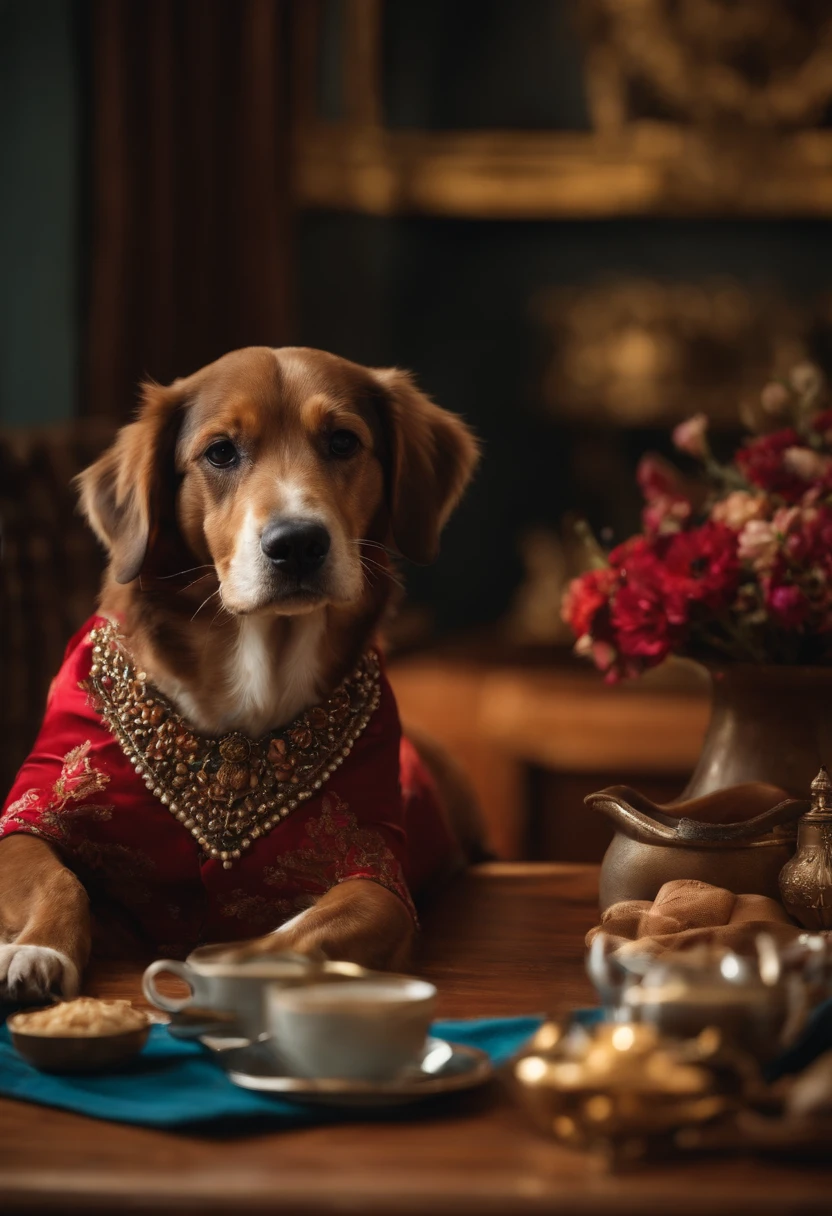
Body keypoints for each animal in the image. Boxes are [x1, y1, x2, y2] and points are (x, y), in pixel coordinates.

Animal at [0, 347, 476, 1001]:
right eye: (221, 452)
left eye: (343, 442)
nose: (297, 543)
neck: (254, 671)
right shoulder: (30, 814)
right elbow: (57, 879)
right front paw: (39, 950)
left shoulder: (376, 866)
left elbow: (308, 927)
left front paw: (228, 967)